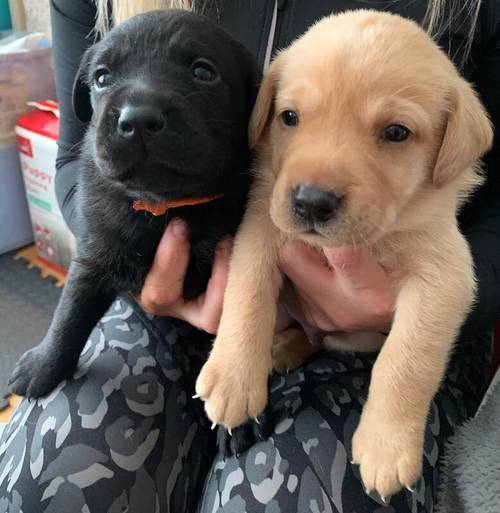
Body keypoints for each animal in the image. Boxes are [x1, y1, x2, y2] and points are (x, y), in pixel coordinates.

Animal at [9, 10, 260, 398]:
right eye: (102, 78)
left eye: (203, 72)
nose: (138, 118)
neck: (165, 205)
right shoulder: (96, 251)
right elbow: (70, 310)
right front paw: (44, 364)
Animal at [194, 10, 492, 498]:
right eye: (289, 117)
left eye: (396, 132)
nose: (312, 202)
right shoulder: (260, 228)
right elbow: (247, 297)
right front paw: (234, 377)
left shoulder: (445, 277)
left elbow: (406, 361)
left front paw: (386, 447)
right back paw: (279, 347)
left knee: (325, 341)